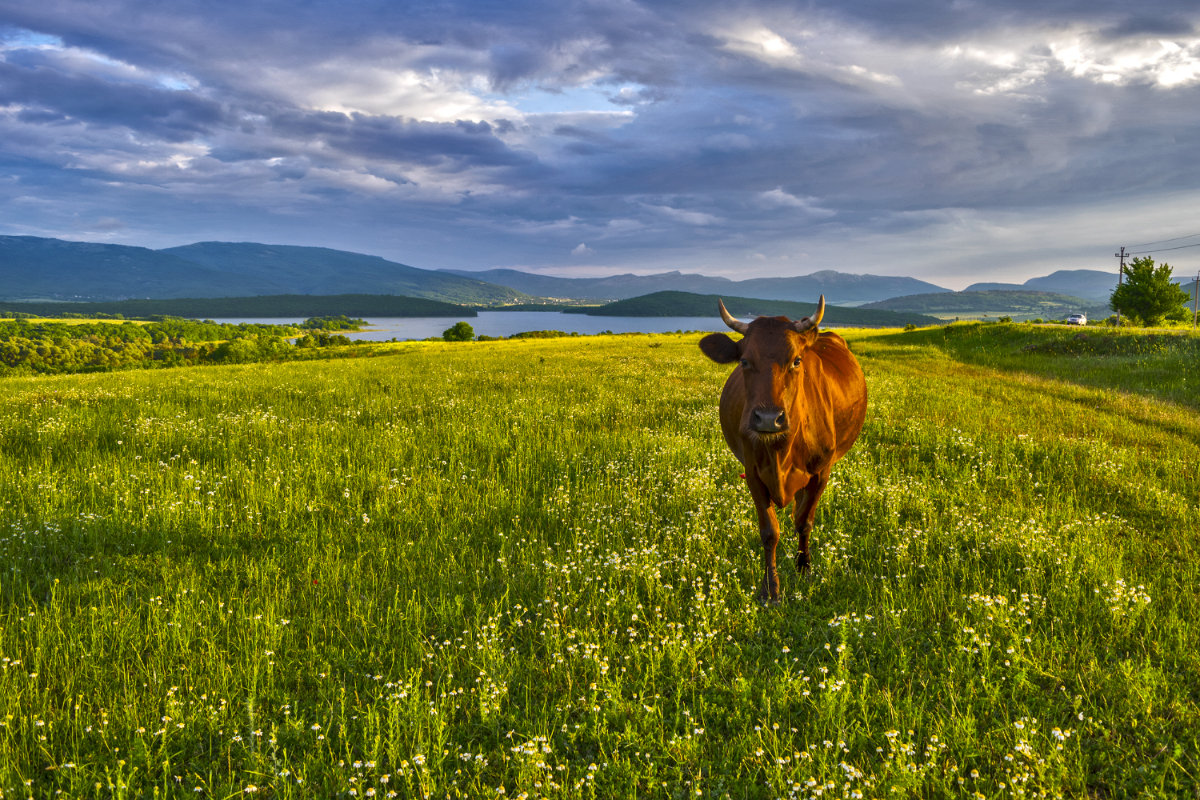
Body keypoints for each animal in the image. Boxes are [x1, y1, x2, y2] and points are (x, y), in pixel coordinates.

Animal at [700, 297, 868, 604]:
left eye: (796, 360)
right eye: (744, 361)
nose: (768, 419)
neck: (781, 451)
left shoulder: (821, 473)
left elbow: (804, 521)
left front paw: (804, 569)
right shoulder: (753, 474)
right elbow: (770, 532)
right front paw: (771, 589)